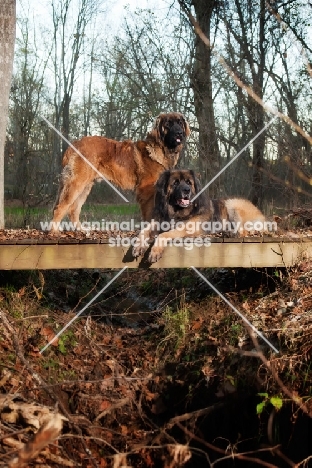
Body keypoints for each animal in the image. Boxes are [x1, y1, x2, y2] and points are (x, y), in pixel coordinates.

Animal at [51, 113, 189, 230]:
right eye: (168, 124)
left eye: (180, 123)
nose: (179, 133)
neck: (161, 149)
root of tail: (74, 143)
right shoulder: (147, 190)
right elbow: (149, 214)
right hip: (77, 183)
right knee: (60, 208)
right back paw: (54, 232)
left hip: (85, 186)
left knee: (73, 209)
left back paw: (82, 231)